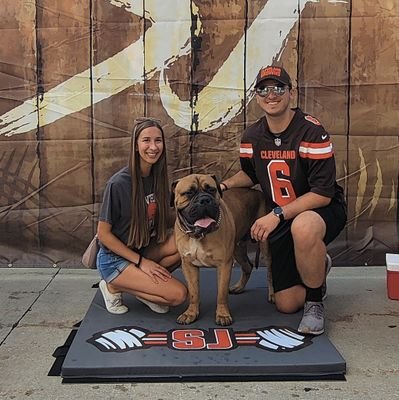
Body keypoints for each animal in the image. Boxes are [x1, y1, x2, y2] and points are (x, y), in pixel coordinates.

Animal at [172, 174, 272, 324]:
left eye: (212, 190)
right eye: (189, 193)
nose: (204, 200)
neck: (200, 235)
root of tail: (258, 192)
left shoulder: (224, 264)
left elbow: (221, 293)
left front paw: (223, 315)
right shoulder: (188, 265)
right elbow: (194, 292)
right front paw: (191, 313)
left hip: (264, 243)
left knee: (270, 271)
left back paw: (272, 294)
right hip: (237, 249)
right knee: (247, 266)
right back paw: (238, 287)